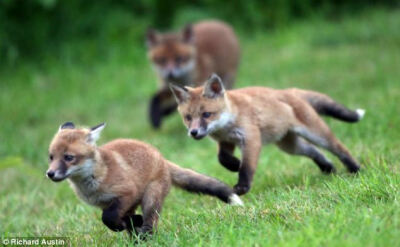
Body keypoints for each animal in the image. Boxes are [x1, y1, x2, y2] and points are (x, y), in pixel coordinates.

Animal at [45, 122, 242, 238]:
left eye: (69, 157)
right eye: (51, 157)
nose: (50, 173)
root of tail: (162, 158)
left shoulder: (127, 193)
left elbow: (108, 218)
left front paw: (127, 225)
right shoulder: (108, 203)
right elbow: (112, 220)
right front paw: (126, 225)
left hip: (150, 197)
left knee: (150, 221)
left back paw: (145, 235)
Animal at [170, 74, 366, 196]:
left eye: (206, 115)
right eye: (188, 118)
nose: (193, 132)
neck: (230, 120)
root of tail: (287, 91)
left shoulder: (250, 138)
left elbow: (247, 166)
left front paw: (242, 184)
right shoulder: (226, 141)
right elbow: (222, 159)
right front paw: (234, 164)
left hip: (316, 133)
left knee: (339, 148)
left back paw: (355, 169)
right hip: (290, 146)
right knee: (314, 151)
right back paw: (328, 168)